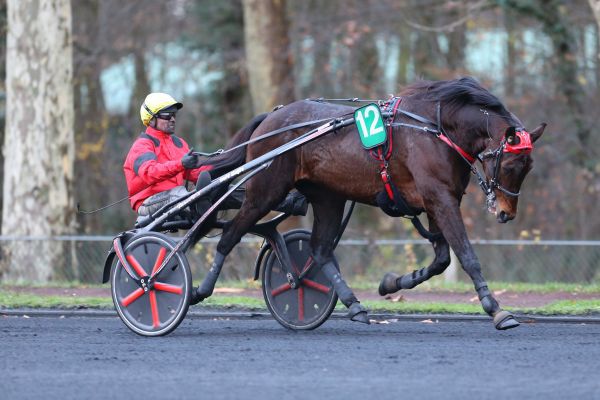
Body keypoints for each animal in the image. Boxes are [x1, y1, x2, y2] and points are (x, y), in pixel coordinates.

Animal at [193, 76, 544, 330]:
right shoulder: (441, 200)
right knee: (229, 235)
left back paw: (353, 304)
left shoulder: (437, 202)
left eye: (528, 167)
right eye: (511, 165)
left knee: (320, 249)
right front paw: (496, 309)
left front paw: (392, 283)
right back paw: (199, 290)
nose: (506, 213)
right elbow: (467, 257)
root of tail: (272, 117)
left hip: (328, 197)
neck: (435, 129)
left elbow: (441, 261)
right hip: (265, 192)